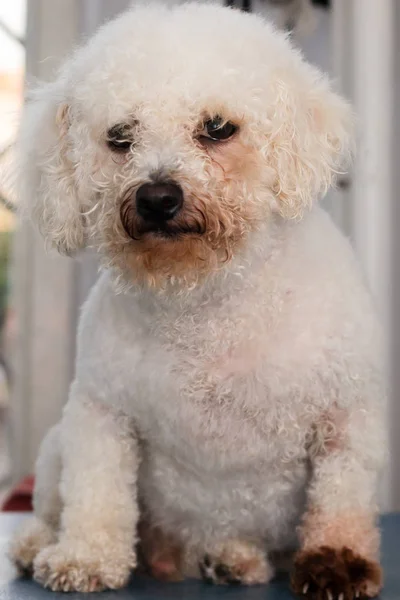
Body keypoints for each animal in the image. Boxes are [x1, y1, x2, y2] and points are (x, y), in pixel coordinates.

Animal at [10, 2, 384, 596]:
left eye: (217, 128)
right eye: (120, 136)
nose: (157, 197)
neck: (205, 302)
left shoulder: (345, 415)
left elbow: (341, 498)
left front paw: (337, 563)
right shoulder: (100, 413)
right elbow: (96, 493)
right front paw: (86, 557)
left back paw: (234, 557)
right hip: (53, 448)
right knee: (50, 506)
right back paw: (36, 543)